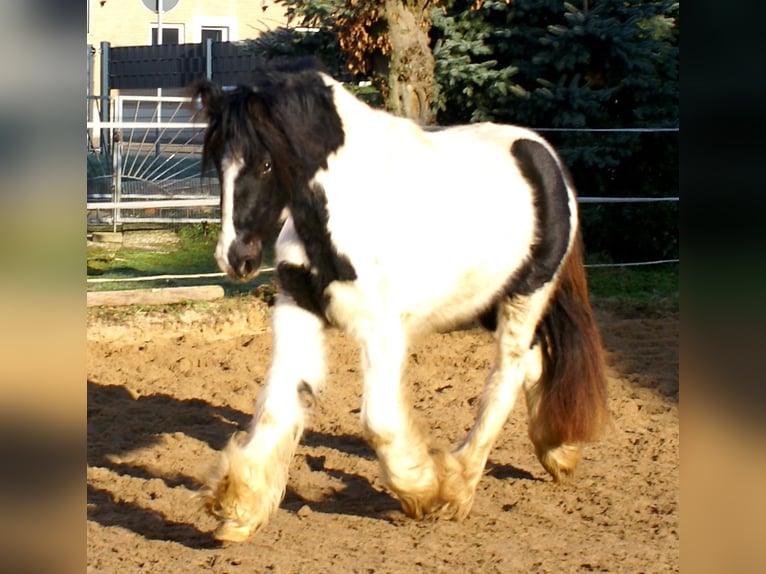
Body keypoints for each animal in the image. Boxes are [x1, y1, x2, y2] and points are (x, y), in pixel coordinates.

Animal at [194, 62, 612, 544]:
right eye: (219, 165)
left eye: (264, 163)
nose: (235, 258)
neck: (346, 208)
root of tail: (547, 160)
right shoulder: (298, 308)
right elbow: (277, 408)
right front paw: (238, 510)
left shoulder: (382, 330)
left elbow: (378, 422)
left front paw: (423, 491)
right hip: (489, 303)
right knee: (535, 364)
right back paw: (556, 451)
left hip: (525, 298)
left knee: (506, 377)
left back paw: (459, 485)